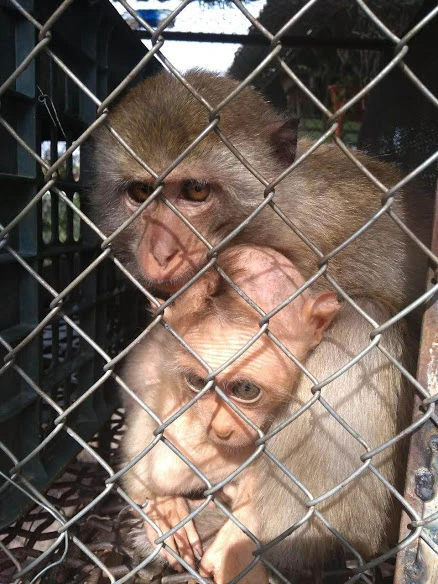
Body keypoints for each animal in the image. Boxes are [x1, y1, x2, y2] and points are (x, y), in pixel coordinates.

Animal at [119, 245, 340, 584]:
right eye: (198, 383)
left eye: (246, 389)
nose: (221, 429)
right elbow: (156, 457)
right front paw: (163, 505)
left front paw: (237, 539)